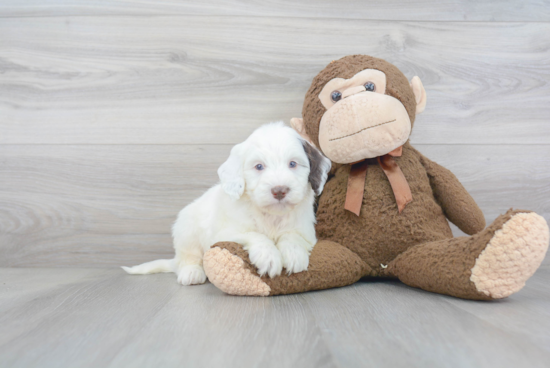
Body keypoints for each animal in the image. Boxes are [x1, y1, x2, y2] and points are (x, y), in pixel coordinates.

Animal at [123, 122, 332, 286]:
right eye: (259, 166)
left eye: (293, 164)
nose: (279, 190)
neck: (271, 216)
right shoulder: (226, 232)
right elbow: (254, 234)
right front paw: (269, 256)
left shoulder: (305, 230)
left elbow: (292, 236)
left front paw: (294, 254)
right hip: (186, 230)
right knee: (188, 257)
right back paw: (191, 273)